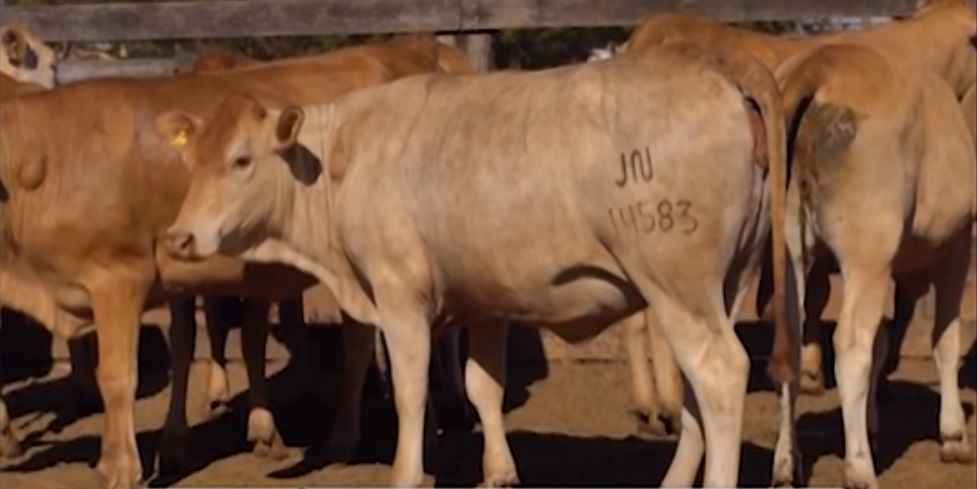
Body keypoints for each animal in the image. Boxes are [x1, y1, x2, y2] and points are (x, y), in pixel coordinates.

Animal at [164, 41, 788, 484]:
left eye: (241, 159)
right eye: (191, 163)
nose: (178, 237)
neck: (344, 155)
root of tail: (720, 65)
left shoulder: (400, 297)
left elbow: (412, 392)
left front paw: (407, 472)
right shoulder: (489, 300)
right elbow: (483, 386)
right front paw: (498, 471)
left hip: (679, 288)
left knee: (721, 375)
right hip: (723, 287)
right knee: (699, 393)